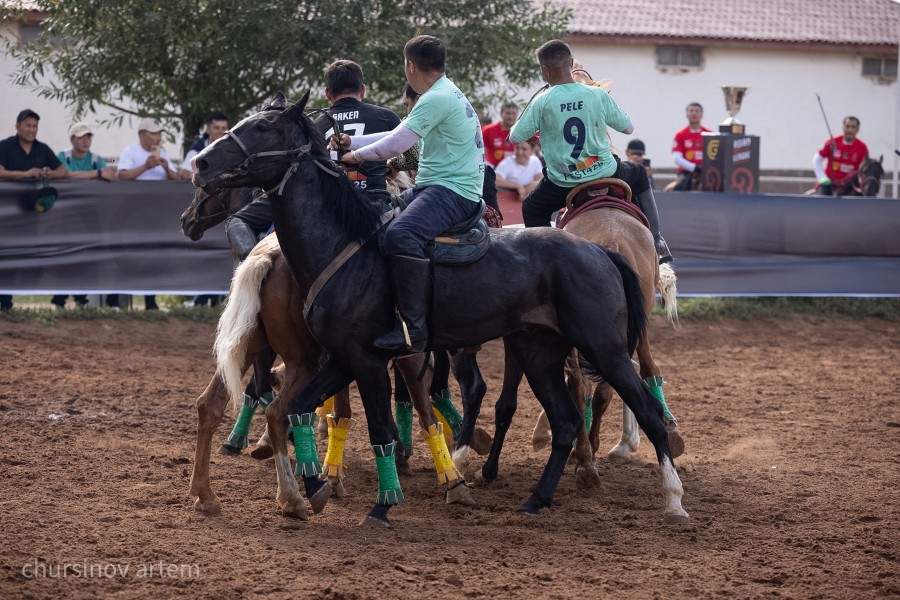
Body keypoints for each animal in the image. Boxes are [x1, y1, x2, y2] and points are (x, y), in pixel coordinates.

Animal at [192, 92, 688, 524]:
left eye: (263, 126)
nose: (199, 163)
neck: (346, 247)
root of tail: (600, 250)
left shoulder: (367, 361)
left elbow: (380, 431)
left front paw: (382, 505)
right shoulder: (340, 358)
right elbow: (298, 410)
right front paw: (314, 487)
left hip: (604, 348)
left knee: (644, 408)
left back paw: (672, 497)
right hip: (539, 352)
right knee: (565, 422)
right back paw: (536, 498)